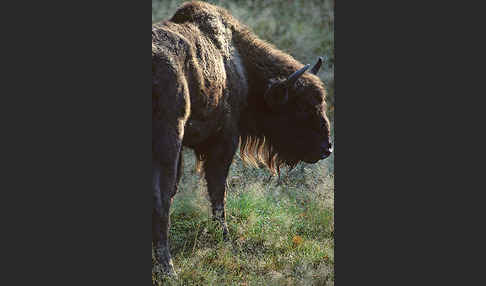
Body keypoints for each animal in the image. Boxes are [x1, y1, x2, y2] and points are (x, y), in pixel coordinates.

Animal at [152, 0, 334, 278]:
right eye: (301, 107)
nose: (327, 148)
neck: (239, 64)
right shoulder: (223, 141)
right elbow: (217, 192)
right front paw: (225, 238)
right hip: (167, 141)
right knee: (160, 201)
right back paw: (169, 270)